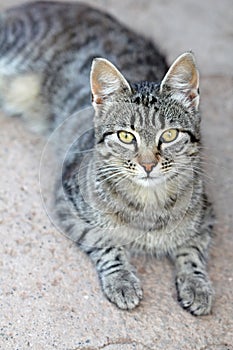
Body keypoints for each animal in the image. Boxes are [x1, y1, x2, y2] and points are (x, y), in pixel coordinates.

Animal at [0, 1, 215, 316]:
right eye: (126, 136)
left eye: (170, 135)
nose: (148, 164)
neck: (149, 204)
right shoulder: (67, 205)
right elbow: (106, 241)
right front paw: (122, 280)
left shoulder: (207, 217)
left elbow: (193, 252)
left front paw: (197, 285)